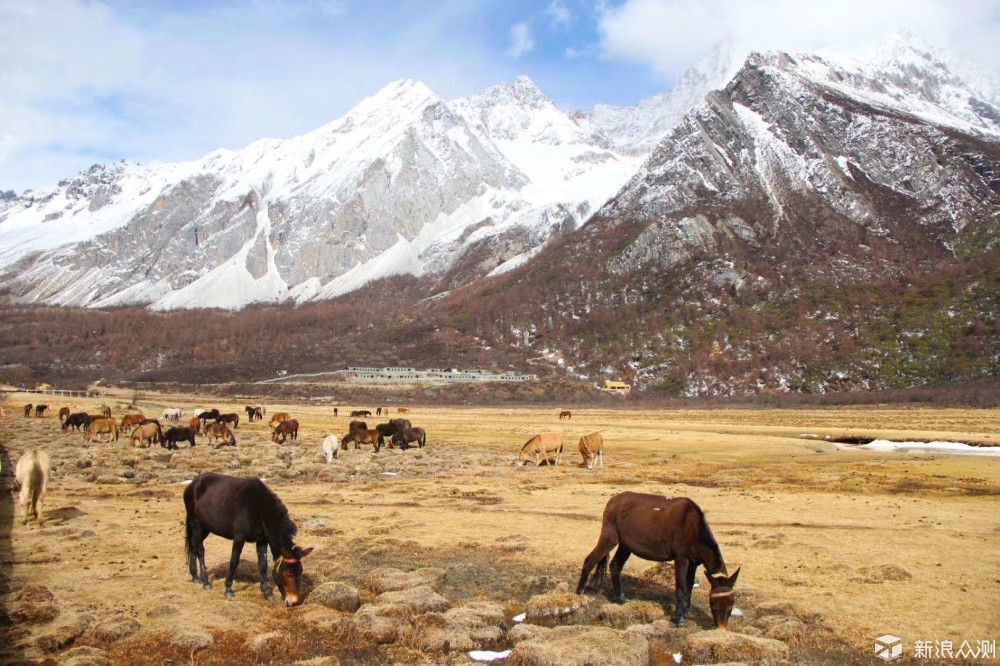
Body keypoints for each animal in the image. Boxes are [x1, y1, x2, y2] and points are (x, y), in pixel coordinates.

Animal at [184, 470, 312, 604]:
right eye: (289, 573)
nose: (294, 601)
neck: (260, 508)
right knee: (200, 550)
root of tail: (193, 484)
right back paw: (206, 582)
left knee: (193, 545)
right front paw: (228, 589)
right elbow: (234, 561)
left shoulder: (262, 540)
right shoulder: (239, 538)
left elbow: (263, 565)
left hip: (205, 528)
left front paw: (267, 592)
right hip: (196, 525)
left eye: (300, 571)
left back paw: (195, 577)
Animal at [576, 490, 740, 624]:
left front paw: (687, 612)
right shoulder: (681, 558)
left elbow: (689, 586)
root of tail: (612, 500)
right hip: (610, 538)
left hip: (626, 545)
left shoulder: (693, 563)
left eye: (732, 603)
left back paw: (620, 598)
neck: (694, 528)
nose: (721, 626)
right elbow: (681, 586)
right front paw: (678, 617)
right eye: (713, 604)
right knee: (590, 561)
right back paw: (579, 592)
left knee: (615, 566)